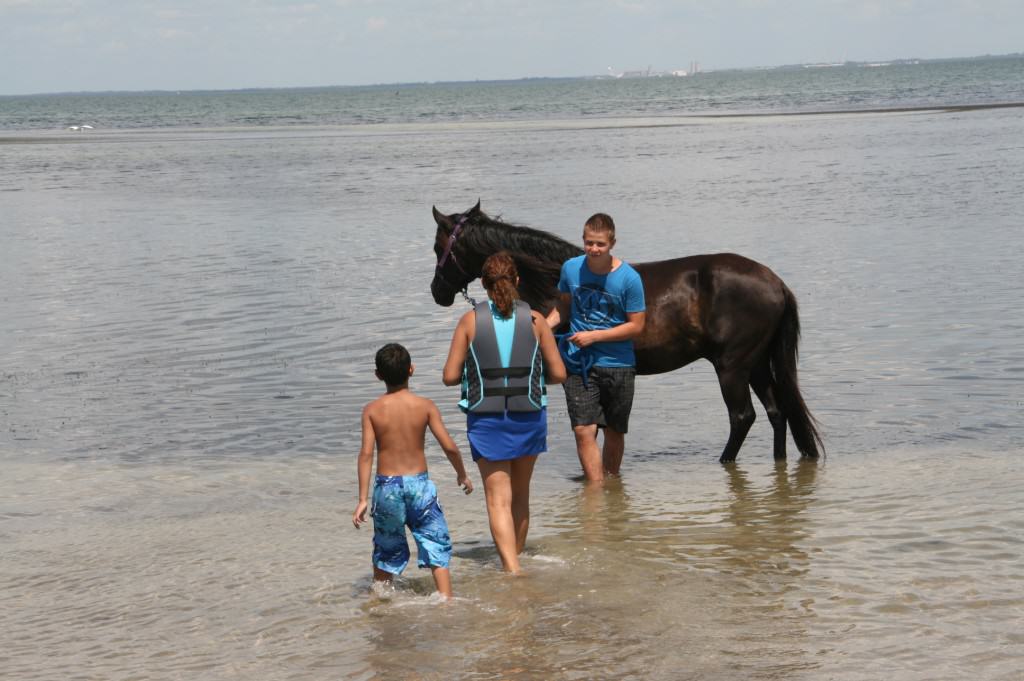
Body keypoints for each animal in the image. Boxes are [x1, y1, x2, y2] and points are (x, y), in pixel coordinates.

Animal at [432, 201, 823, 462]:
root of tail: (775, 282)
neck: (553, 284)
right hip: (755, 364)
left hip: (732, 367)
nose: (437, 292)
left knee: (743, 417)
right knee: (777, 412)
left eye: (438, 247)